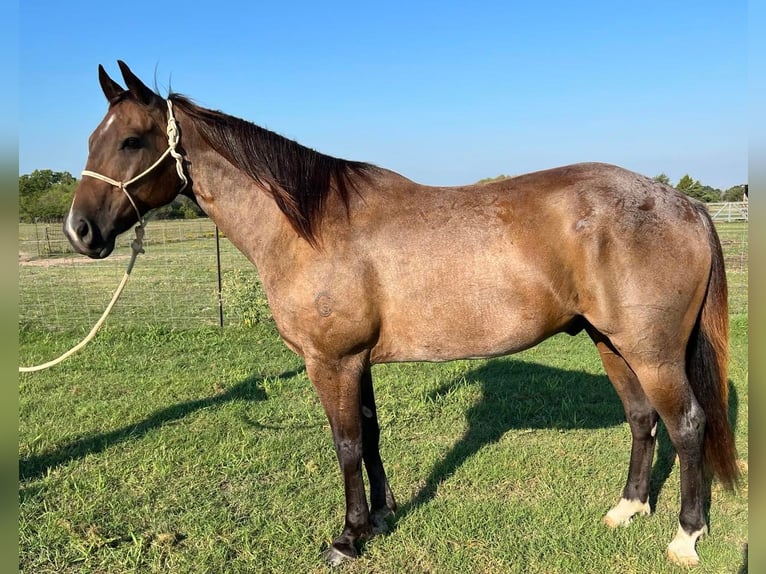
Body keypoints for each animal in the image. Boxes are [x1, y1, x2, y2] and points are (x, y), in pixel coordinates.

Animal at [64, 62, 736, 568]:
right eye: (92, 140)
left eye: (131, 140)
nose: (80, 231)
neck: (310, 225)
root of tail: (683, 203)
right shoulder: (356, 361)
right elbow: (369, 434)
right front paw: (383, 516)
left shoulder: (330, 362)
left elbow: (344, 443)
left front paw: (348, 536)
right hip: (611, 343)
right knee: (642, 419)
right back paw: (628, 509)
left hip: (652, 352)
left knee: (687, 424)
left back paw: (686, 535)